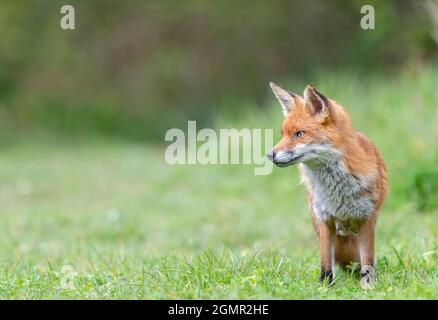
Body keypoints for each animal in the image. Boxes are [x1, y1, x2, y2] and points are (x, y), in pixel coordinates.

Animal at [266, 82, 386, 288]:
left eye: (299, 134)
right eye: (283, 134)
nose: (270, 154)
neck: (338, 190)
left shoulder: (367, 218)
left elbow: (368, 260)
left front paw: (368, 286)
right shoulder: (324, 218)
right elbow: (325, 262)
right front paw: (324, 286)